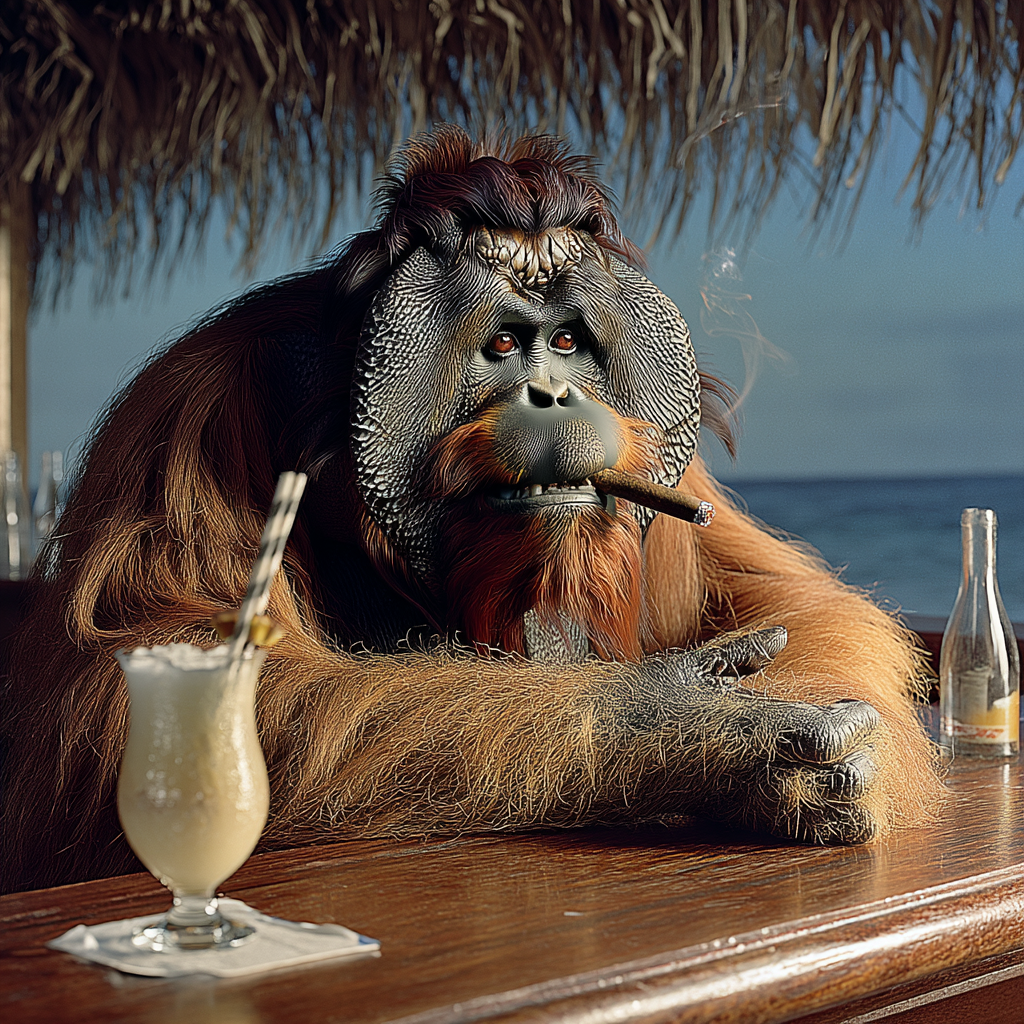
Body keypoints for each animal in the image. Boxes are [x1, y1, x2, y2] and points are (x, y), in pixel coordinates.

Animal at [0, 127, 942, 893]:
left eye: (566, 341)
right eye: (502, 344)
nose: (554, 393)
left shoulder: (685, 489)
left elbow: (795, 603)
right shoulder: (189, 420)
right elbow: (161, 676)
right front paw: (706, 728)